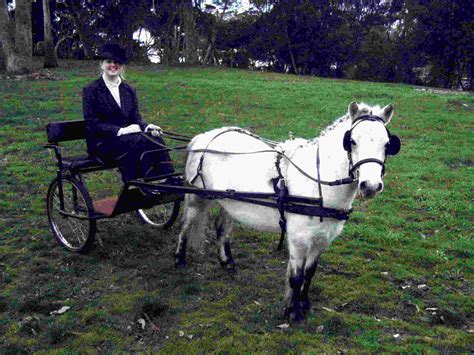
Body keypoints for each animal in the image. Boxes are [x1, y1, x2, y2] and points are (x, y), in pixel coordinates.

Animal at [174, 102, 400, 322]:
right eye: (351, 141)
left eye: (387, 144)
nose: (370, 186)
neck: (318, 183)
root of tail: (203, 137)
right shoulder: (299, 239)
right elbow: (296, 277)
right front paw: (293, 311)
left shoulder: (322, 239)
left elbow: (309, 273)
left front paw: (304, 304)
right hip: (196, 197)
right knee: (185, 225)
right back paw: (179, 259)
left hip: (229, 201)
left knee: (221, 229)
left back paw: (227, 262)